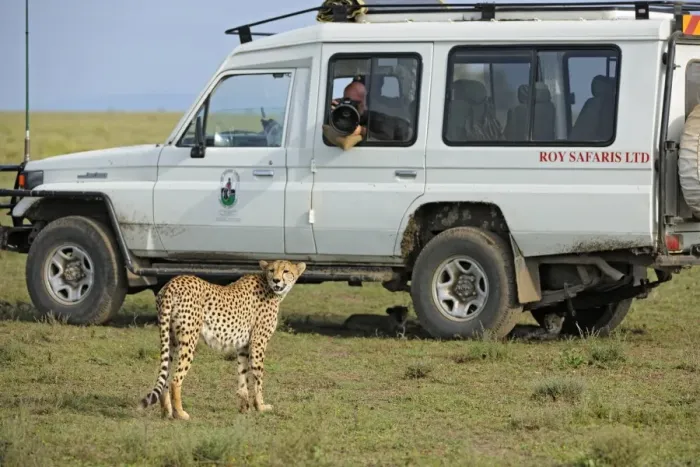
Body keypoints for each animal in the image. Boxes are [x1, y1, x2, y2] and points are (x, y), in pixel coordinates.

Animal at [137, 259, 306, 420]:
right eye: (272, 270)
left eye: (286, 271)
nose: (276, 280)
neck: (268, 285)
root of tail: (173, 282)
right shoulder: (258, 343)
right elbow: (258, 377)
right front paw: (261, 407)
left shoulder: (243, 346)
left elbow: (243, 376)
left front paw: (244, 408)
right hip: (189, 340)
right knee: (175, 379)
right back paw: (181, 414)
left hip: (169, 338)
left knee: (165, 378)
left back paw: (167, 413)